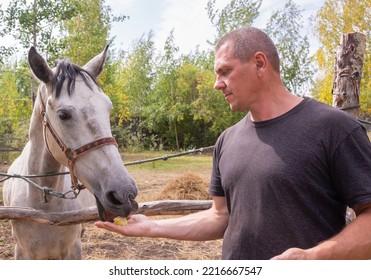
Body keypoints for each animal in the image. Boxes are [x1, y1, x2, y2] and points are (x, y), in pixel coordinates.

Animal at [2, 46, 139, 260]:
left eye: (108, 108)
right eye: (63, 115)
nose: (125, 195)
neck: (44, 205)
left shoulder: (73, 250)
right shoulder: (22, 253)